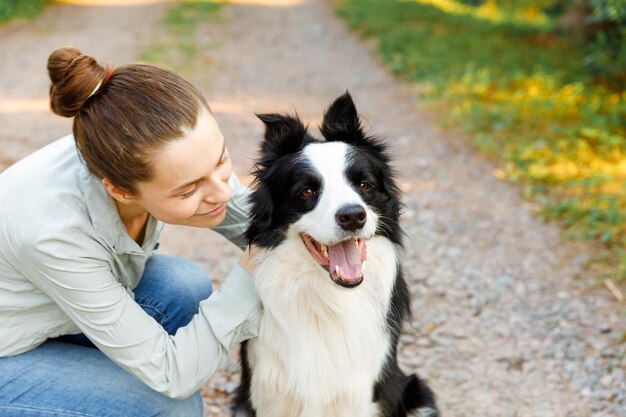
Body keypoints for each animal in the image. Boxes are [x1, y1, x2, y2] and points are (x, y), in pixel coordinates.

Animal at [234, 93, 438, 416]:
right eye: (306, 191)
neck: (327, 300)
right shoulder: (269, 392)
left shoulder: (359, 394)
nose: (353, 216)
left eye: (364, 184)